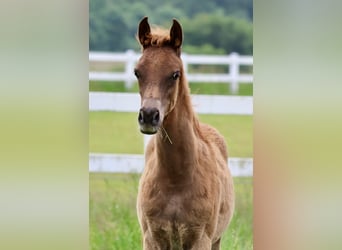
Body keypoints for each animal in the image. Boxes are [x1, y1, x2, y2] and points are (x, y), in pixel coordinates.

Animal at [135, 16, 234, 249]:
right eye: (137, 72)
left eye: (175, 74)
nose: (149, 116)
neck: (176, 179)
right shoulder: (151, 239)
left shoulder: (200, 239)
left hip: (216, 239)